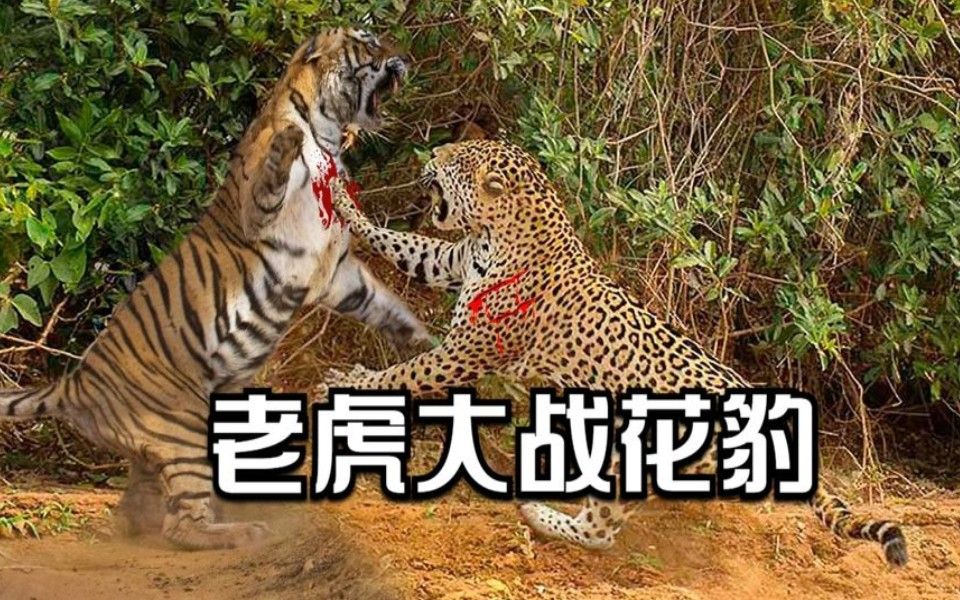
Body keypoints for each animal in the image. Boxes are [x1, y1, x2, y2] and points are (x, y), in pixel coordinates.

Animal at [0, 27, 428, 550]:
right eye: (367, 41)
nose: (405, 58)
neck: (328, 137)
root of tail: (73, 384)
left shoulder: (336, 272)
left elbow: (386, 304)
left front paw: (425, 341)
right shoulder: (262, 216)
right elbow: (272, 175)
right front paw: (288, 141)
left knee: (143, 508)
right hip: (184, 422)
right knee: (181, 525)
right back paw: (242, 530)